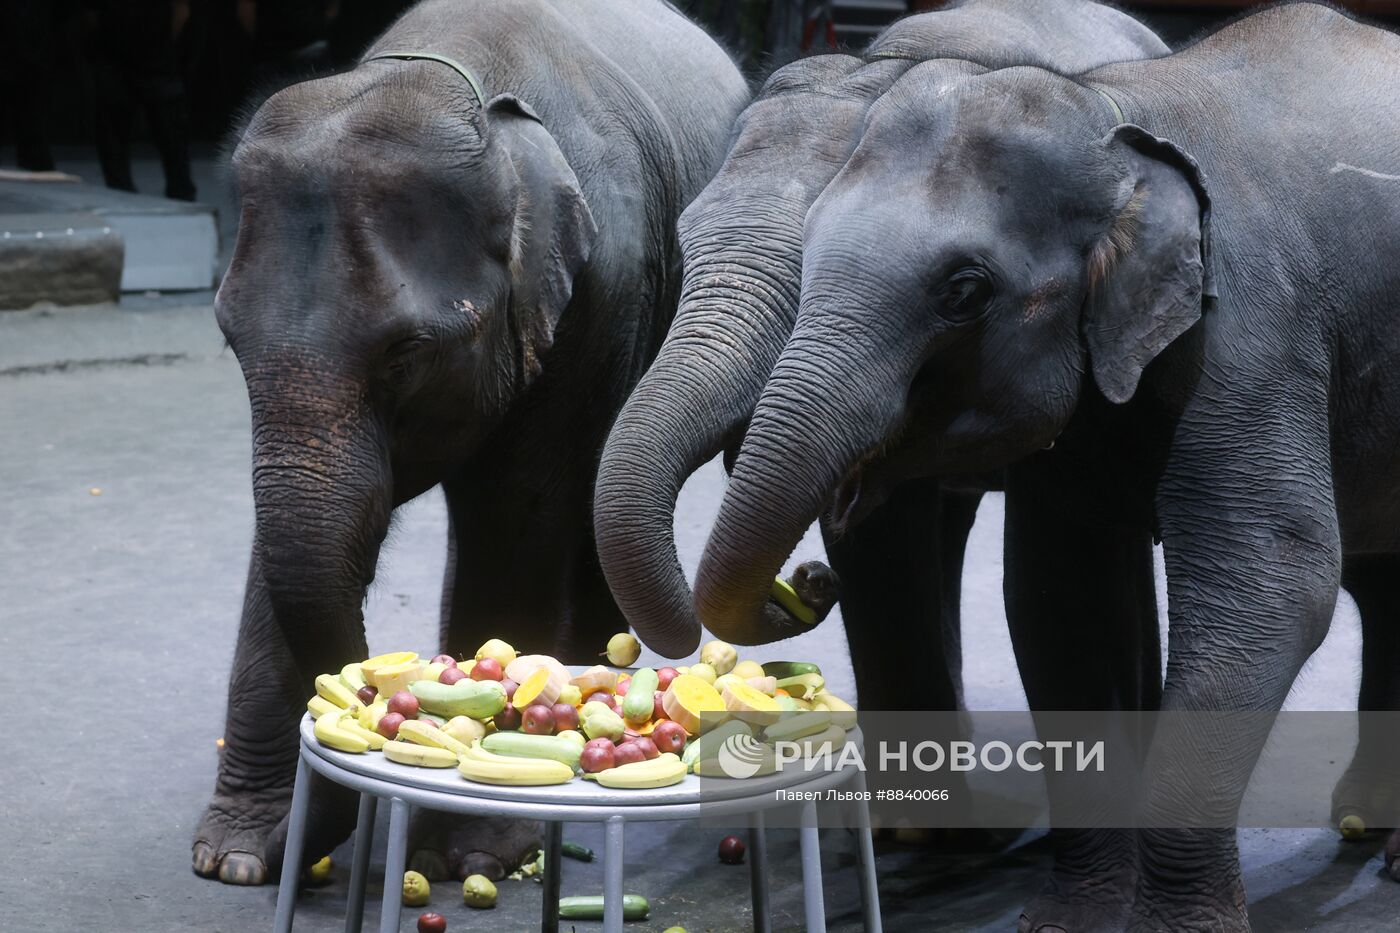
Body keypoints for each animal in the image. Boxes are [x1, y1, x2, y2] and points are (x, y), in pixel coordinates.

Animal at [194, 0, 756, 885]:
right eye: (227, 337)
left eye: (404, 352)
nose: (297, 845)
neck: (455, 84)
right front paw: (238, 857)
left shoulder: (603, 291)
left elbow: (518, 509)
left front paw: (470, 849)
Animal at [694, 3, 1400, 924]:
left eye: (963, 291)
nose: (809, 578)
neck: (1116, 120)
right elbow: (1056, 597)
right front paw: (1076, 919)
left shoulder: (1252, 332)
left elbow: (1275, 582)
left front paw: (1173, 927)